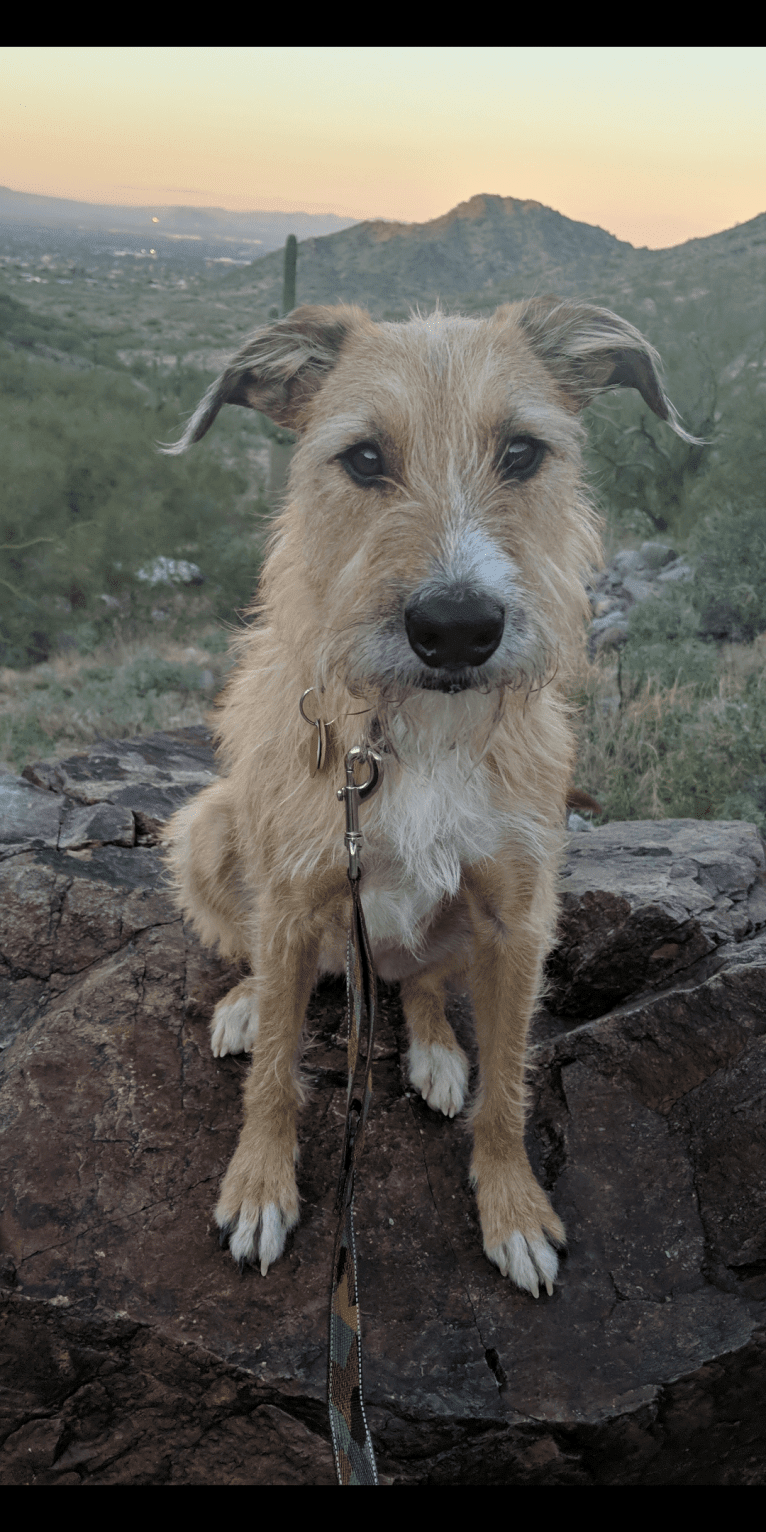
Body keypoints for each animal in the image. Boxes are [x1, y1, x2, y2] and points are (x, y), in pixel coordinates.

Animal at [163, 295, 695, 1293]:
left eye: (522, 452)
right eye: (365, 458)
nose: (457, 628)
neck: (415, 733)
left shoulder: (520, 918)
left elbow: (509, 1084)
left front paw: (513, 1207)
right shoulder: (290, 899)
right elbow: (277, 1073)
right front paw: (258, 1185)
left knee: (420, 982)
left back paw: (436, 1051)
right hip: (208, 829)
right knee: (256, 959)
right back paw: (249, 1003)